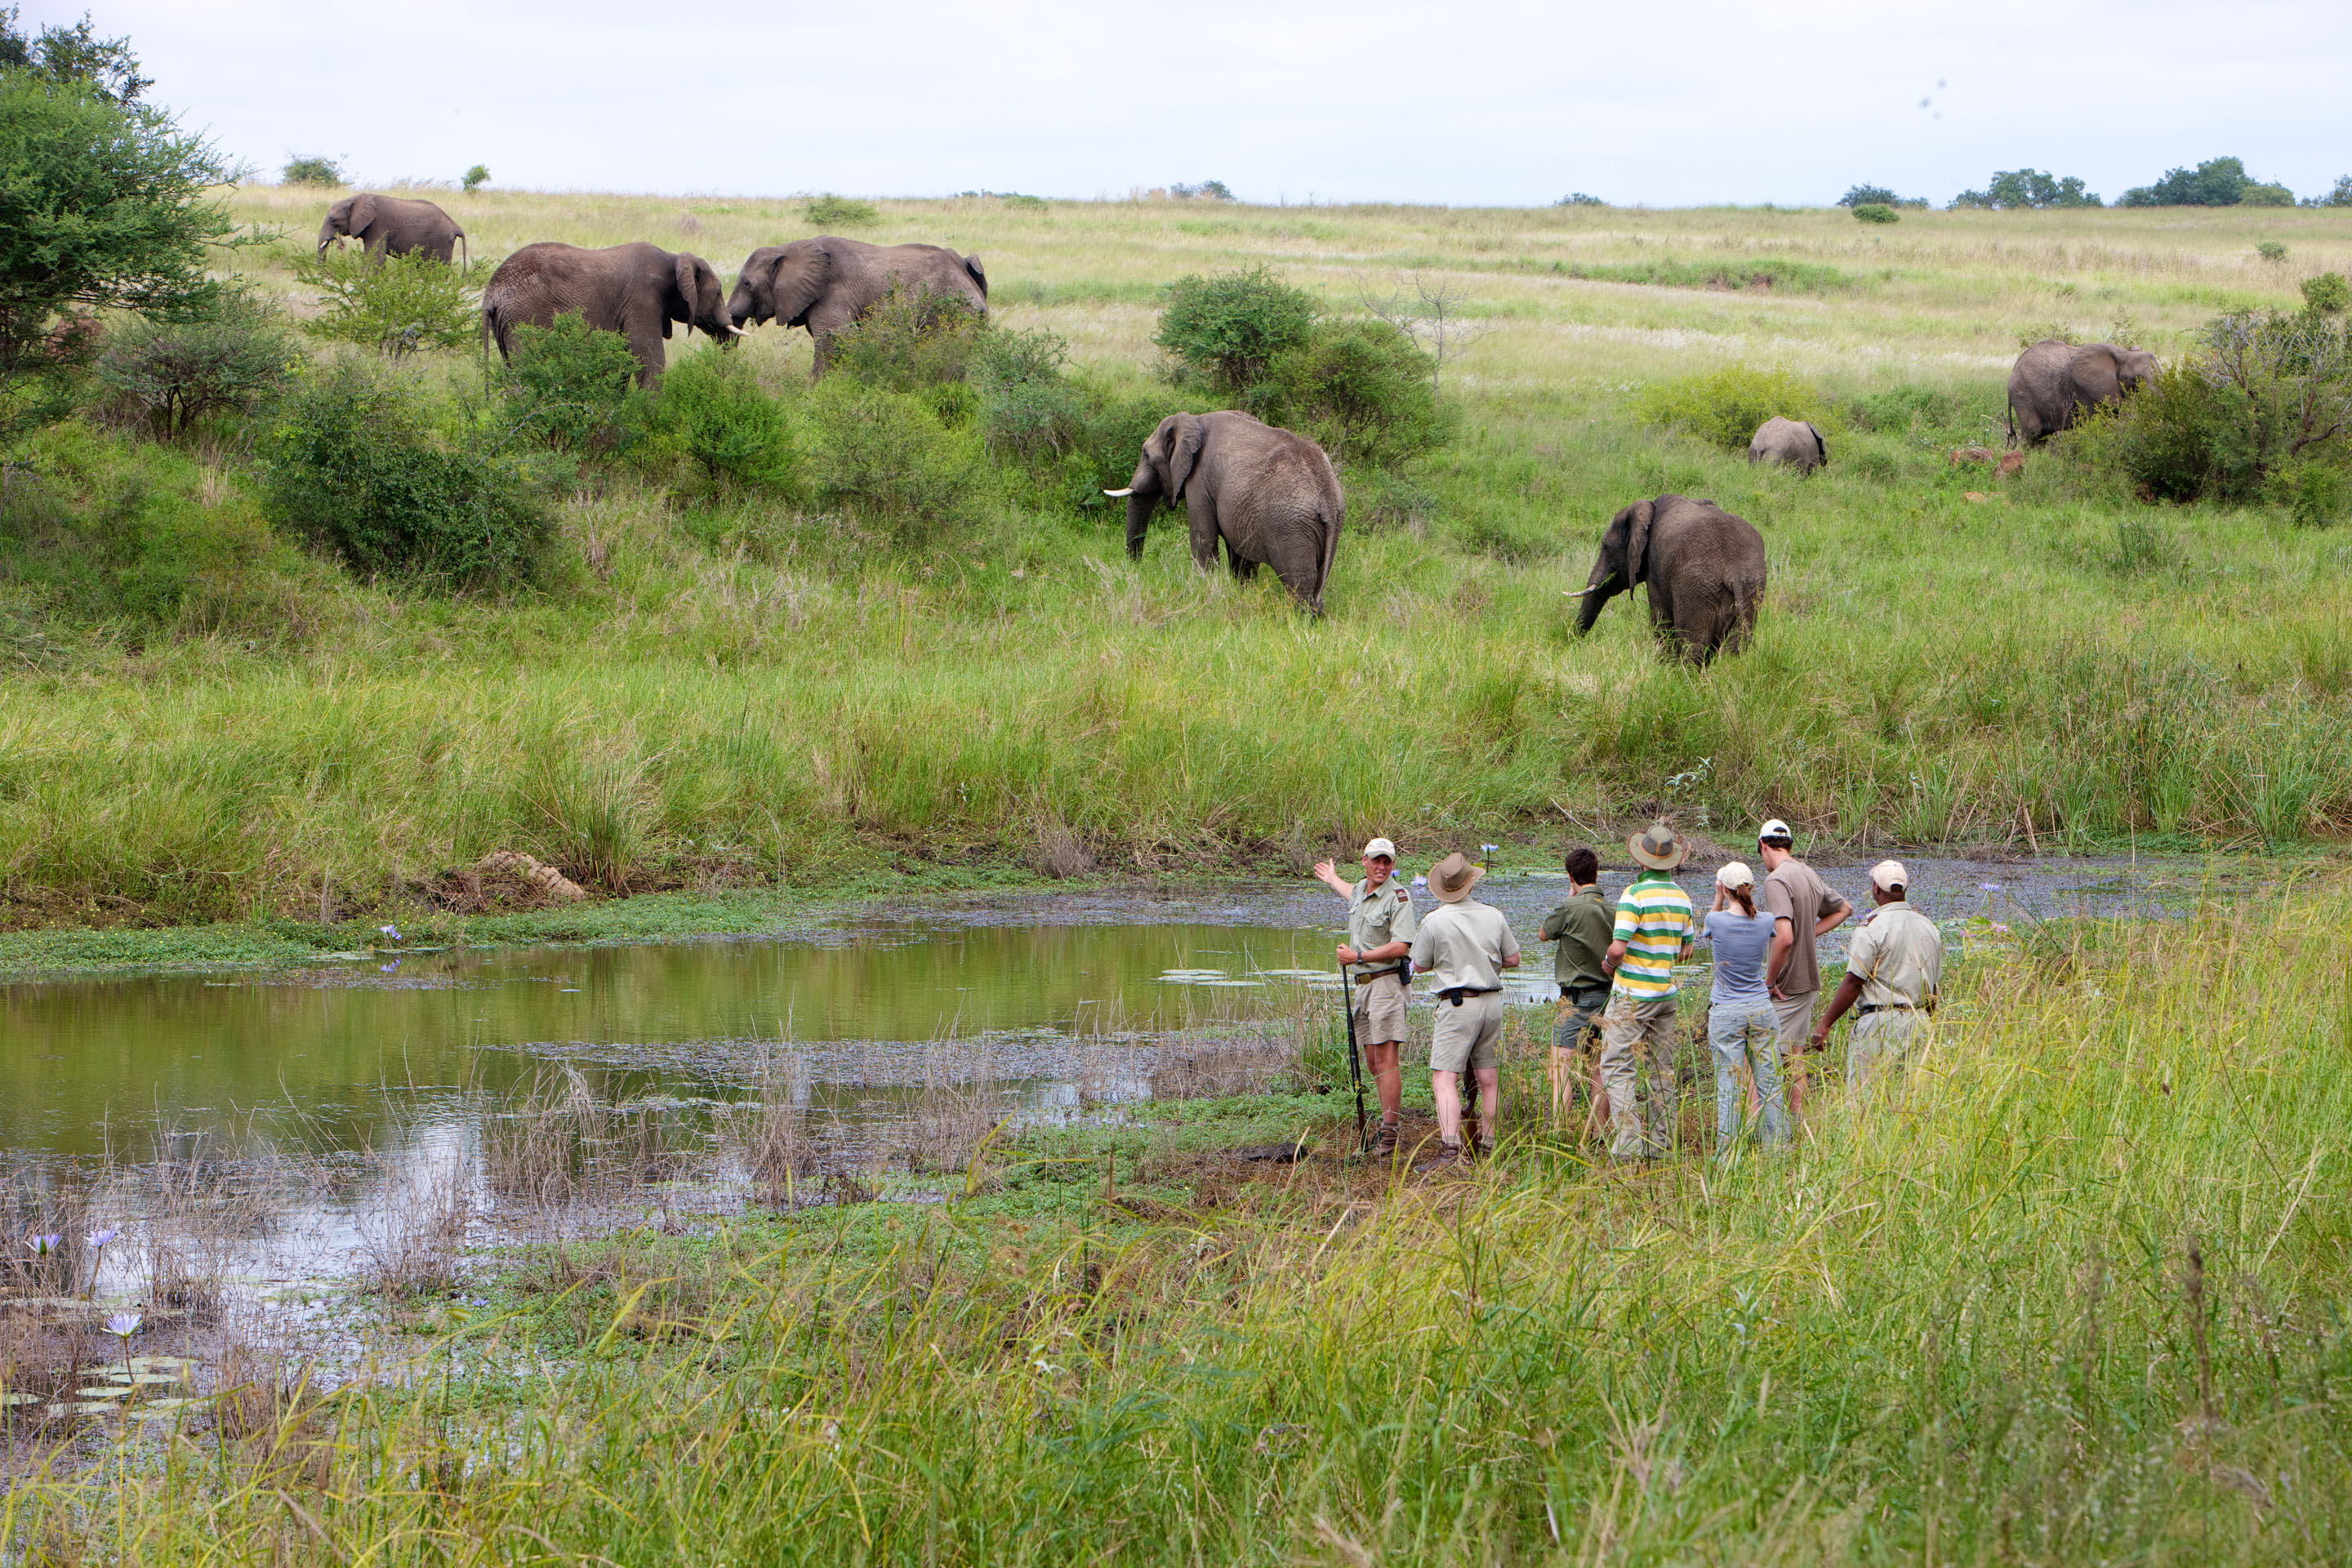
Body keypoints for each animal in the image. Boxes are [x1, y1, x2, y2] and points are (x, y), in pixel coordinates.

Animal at [319, 194, 470, 268]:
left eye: (333, 219)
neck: (355, 199)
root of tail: (455, 225)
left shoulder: (379, 226)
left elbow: (376, 257)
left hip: (441, 240)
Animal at [1100, 411, 1345, 611]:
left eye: (1145, 455)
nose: (1136, 570)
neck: (1194, 420)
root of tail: (1328, 499)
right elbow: (1241, 553)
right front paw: (1243, 593)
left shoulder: (1199, 480)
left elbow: (1203, 539)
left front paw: (1204, 589)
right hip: (1328, 528)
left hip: (1291, 528)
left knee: (1298, 583)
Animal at [1570, 493, 1768, 657]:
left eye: (1605, 546)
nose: (1572, 644)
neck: (1649, 508)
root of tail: (1735, 571)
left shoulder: (1654, 568)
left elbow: (1661, 619)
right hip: (1751, 591)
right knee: (1734, 647)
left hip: (1695, 587)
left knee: (1694, 643)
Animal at [2003, 338, 2154, 442]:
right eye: (2137, 380)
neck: (2124, 353)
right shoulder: (2084, 390)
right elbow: (2095, 423)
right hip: (2022, 393)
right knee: (2033, 432)